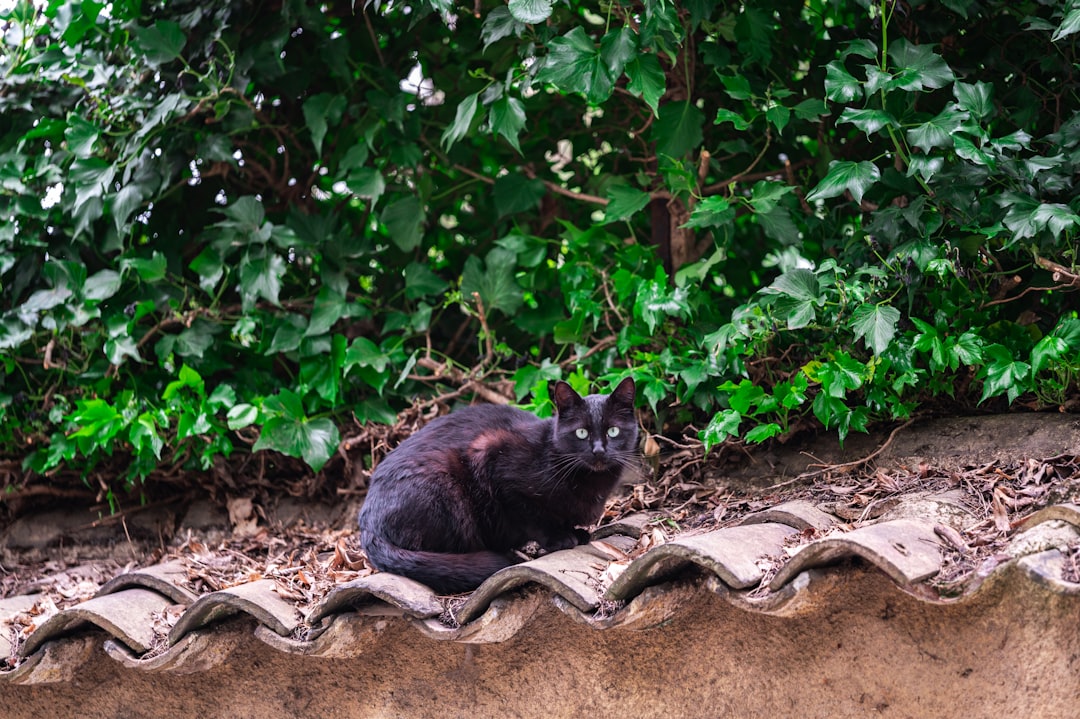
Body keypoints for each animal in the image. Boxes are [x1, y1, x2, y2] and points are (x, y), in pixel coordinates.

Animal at [358, 377, 635, 591]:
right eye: (581, 433)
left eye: (613, 431)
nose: (598, 451)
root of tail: (367, 527)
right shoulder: (491, 458)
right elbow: (531, 515)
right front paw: (559, 538)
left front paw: (575, 532)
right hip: (445, 488)